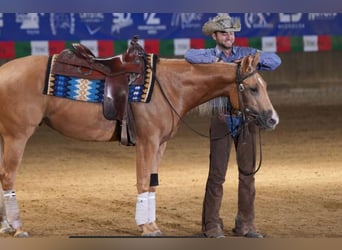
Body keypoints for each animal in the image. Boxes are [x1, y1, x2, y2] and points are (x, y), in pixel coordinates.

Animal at [0, 42, 280, 237]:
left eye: (265, 86)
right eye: (253, 88)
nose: (272, 119)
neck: (170, 85)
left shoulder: (161, 144)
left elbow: (153, 183)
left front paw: (152, 224)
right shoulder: (148, 142)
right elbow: (143, 181)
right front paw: (146, 227)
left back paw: (6, 226)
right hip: (17, 135)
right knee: (8, 176)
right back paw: (17, 227)